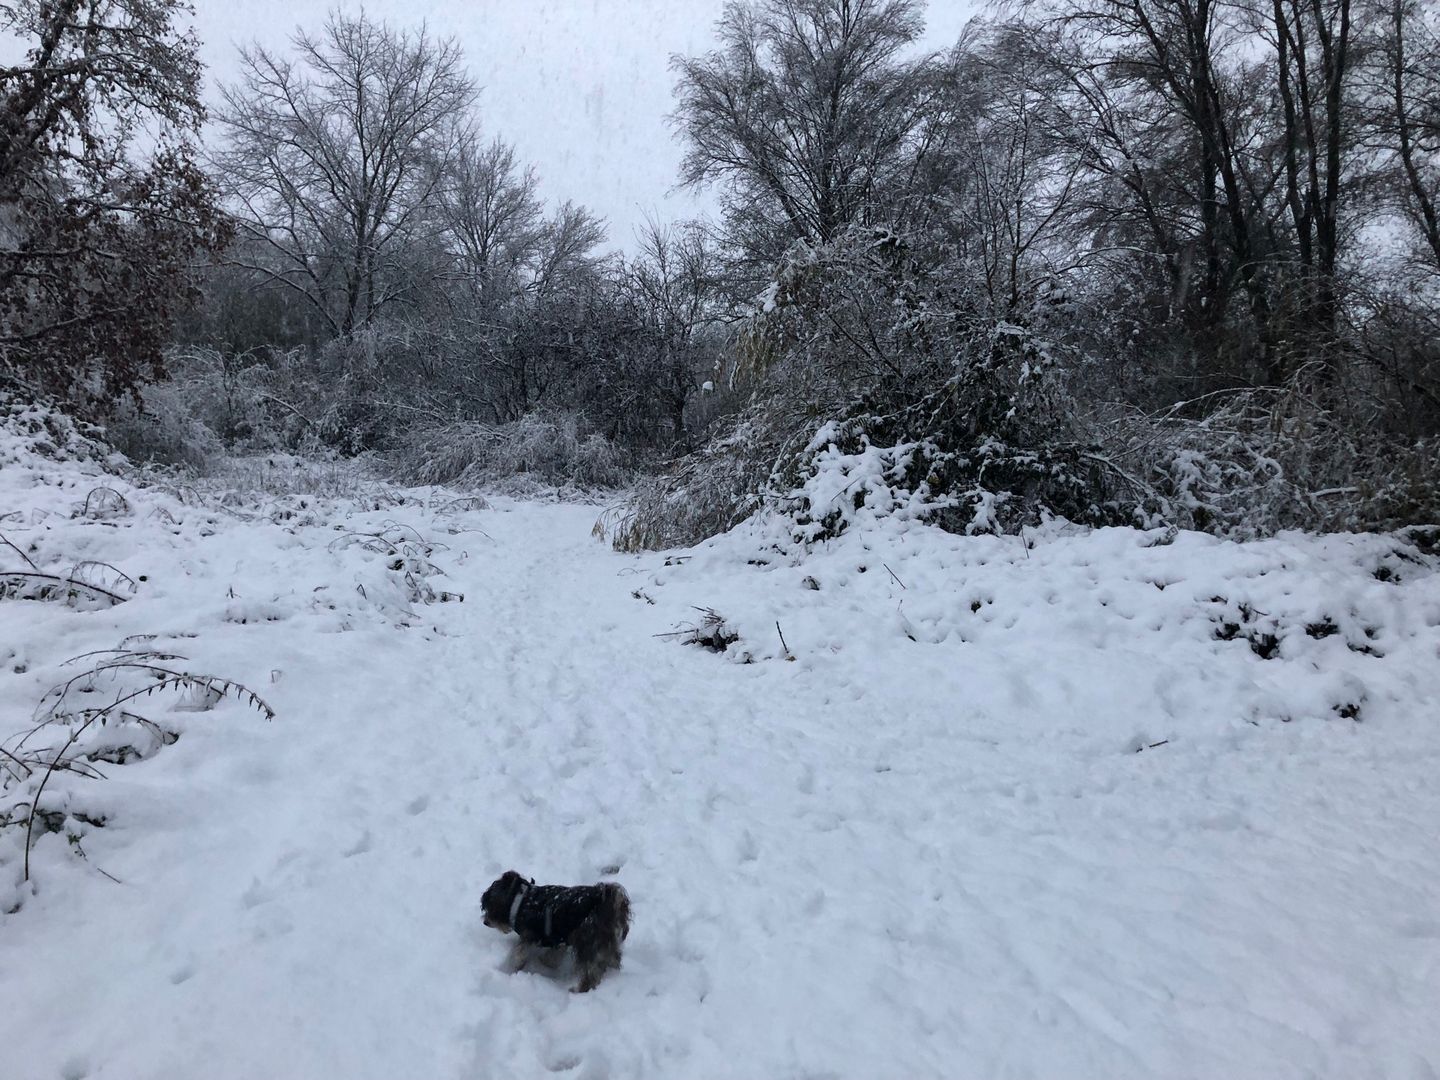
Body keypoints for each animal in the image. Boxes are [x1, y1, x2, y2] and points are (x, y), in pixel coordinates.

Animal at [481, 870, 630, 993]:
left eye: (490, 906)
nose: (485, 922)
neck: (520, 902)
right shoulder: (558, 937)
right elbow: (554, 955)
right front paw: (546, 962)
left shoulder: (530, 936)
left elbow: (520, 953)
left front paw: (516, 966)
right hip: (606, 942)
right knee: (613, 960)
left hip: (587, 943)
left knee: (590, 973)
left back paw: (578, 990)